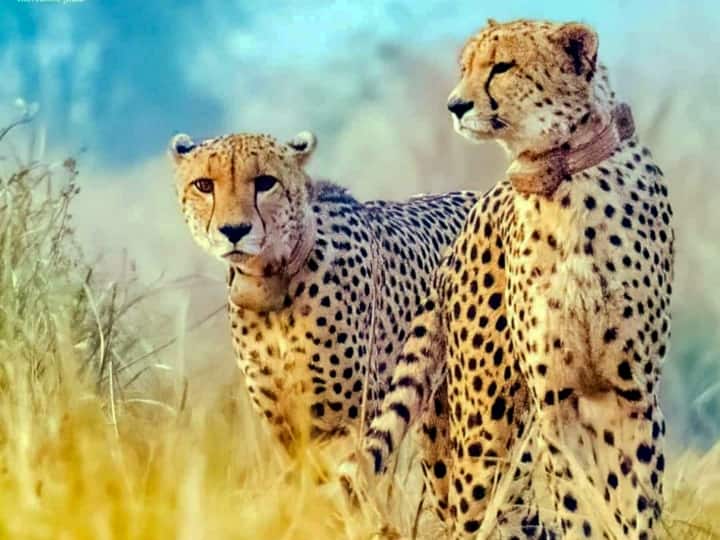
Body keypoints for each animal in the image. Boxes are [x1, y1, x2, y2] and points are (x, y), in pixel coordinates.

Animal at [168, 130, 480, 469]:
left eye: (265, 182)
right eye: (204, 185)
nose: (234, 230)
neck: (271, 286)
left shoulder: (349, 424)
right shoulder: (286, 432)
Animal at [348, 19, 674, 540]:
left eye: (503, 66)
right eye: (465, 67)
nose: (455, 105)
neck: (564, 179)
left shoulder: (633, 394)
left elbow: (634, 500)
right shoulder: (556, 401)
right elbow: (576, 502)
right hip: (485, 426)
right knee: (477, 507)